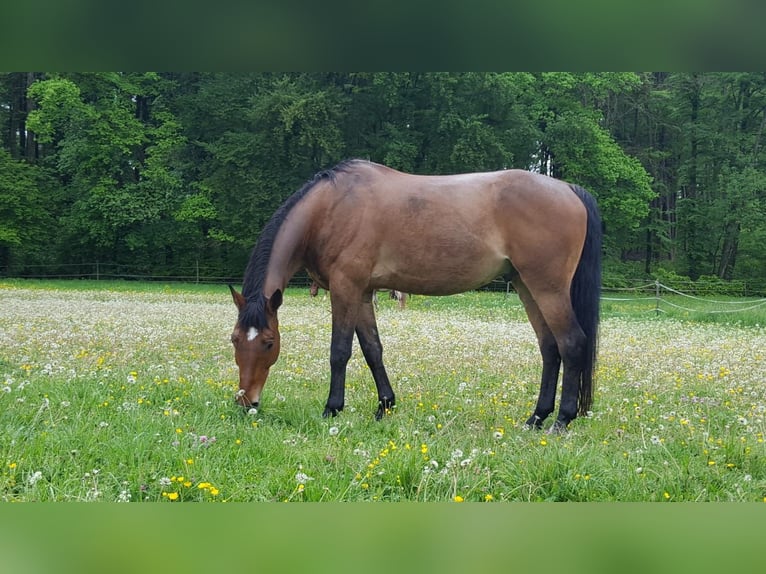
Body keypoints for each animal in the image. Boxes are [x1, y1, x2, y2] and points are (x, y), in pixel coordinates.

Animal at [231, 158, 604, 432]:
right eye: (234, 340)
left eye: (268, 342)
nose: (245, 401)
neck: (331, 207)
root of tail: (568, 189)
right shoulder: (363, 293)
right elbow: (373, 350)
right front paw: (384, 406)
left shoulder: (345, 288)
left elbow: (340, 351)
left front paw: (332, 409)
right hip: (527, 286)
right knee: (550, 348)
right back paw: (536, 418)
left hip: (548, 288)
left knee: (571, 343)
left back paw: (561, 420)